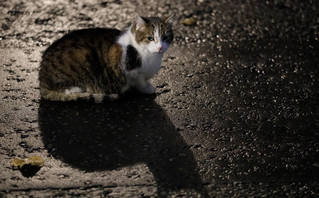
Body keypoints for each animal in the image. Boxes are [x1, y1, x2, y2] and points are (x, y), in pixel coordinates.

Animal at [39, 13, 178, 103]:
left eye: (165, 38)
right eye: (150, 38)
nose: (160, 47)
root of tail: (42, 81)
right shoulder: (130, 71)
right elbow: (139, 81)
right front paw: (146, 88)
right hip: (82, 57)